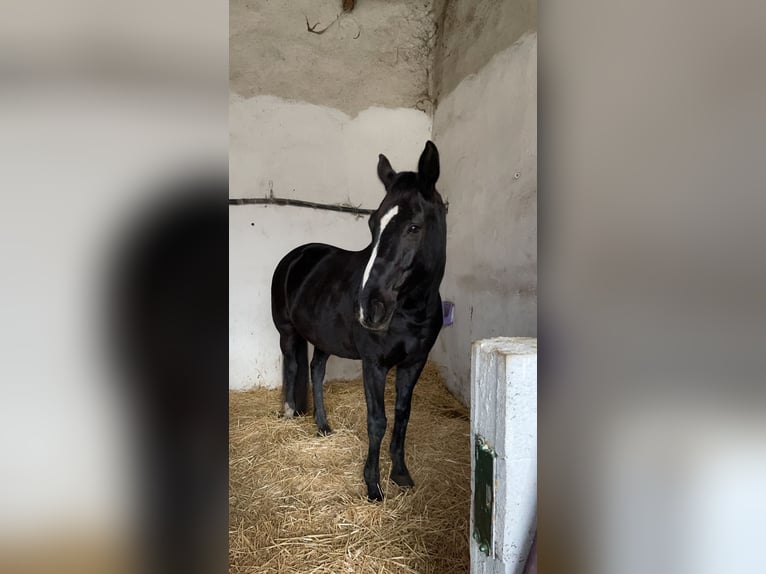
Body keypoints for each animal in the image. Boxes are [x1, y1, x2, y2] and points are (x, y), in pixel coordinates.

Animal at [272, 142, 448, 502]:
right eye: (372, 224)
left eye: (414, 226)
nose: (369, 307)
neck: (411, 312)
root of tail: (295, 256)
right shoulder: (374, 364)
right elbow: (377, 420)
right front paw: (373, 486)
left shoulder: (414, 363)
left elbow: (402, 416)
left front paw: (401, 474)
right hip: (287, 332)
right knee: (293, 367)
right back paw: (290, 413)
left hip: (322, 340)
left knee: (316, 372)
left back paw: (323, 427)